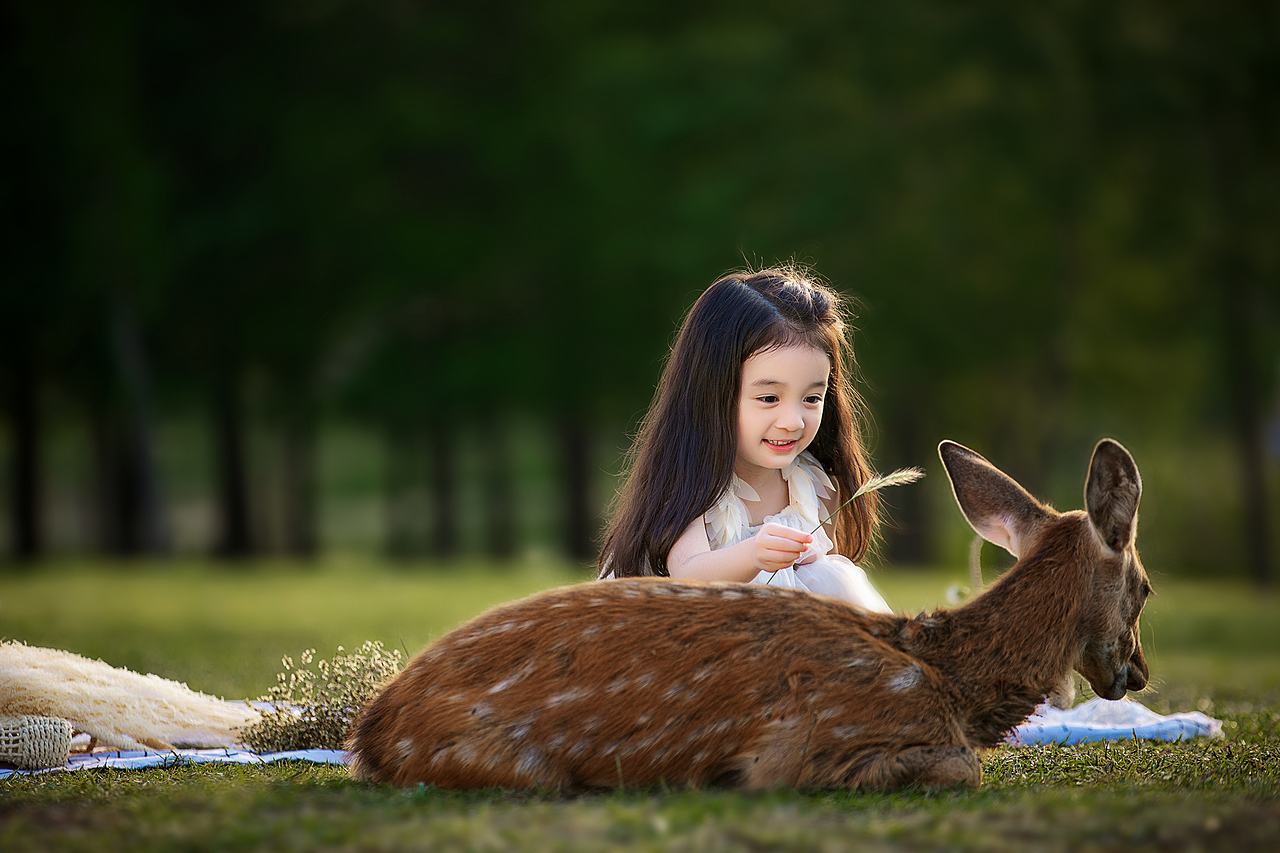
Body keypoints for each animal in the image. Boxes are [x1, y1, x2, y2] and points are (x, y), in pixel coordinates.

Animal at [347, 438, 1151, 791]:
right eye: (1144, 587)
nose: (1139, 673)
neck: (946, 679)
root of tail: (371, 726)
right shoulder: (815, 741)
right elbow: (962, 768)